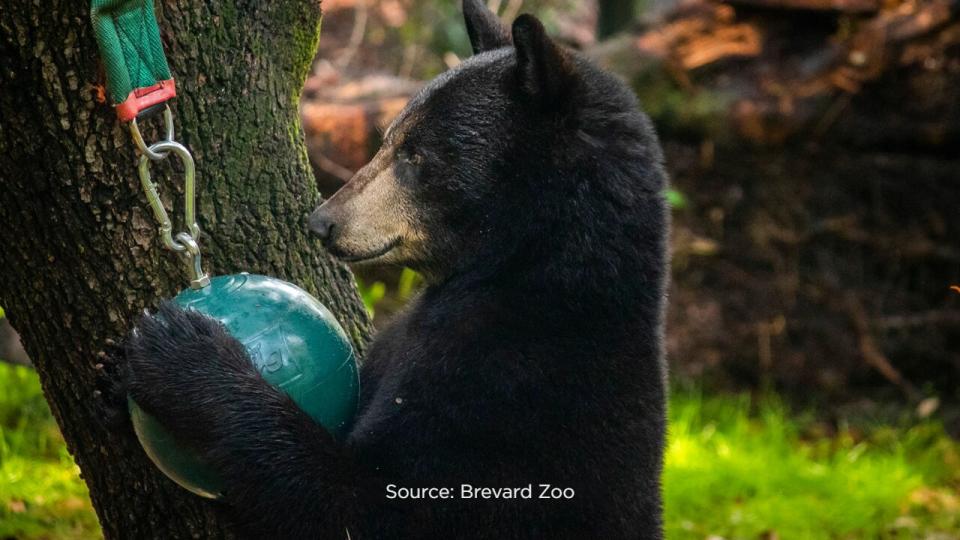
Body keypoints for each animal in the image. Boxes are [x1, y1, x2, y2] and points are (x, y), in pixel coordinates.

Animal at [125, 2, 668, 536]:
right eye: (388, 140)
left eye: (417, 154)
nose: (321, 222)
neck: (526, 266)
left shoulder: (509, 393)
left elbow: (363, 504)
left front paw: (183, 352)